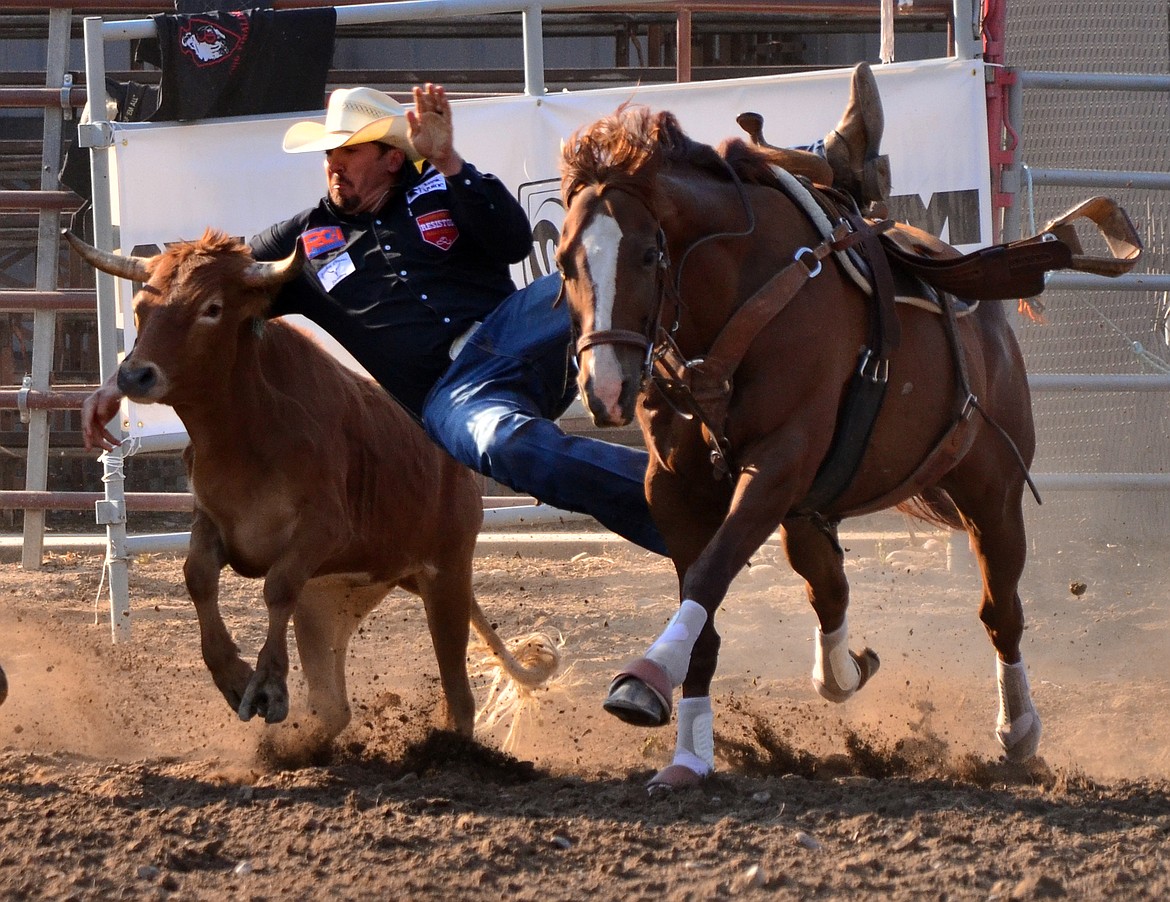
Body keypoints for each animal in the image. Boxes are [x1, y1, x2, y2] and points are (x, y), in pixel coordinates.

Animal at [556, 105, 1043, 795]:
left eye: (650, 254)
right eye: (564, 261)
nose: (606, 388)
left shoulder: (778, 464)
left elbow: (711, 571)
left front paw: (644, 678)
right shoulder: (674, 487)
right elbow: (704, 610)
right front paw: (688, 756)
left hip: (992, 490)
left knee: (1001, 609)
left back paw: (1018, 728)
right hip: (809, 512)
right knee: (829, 586)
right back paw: (844, 671)